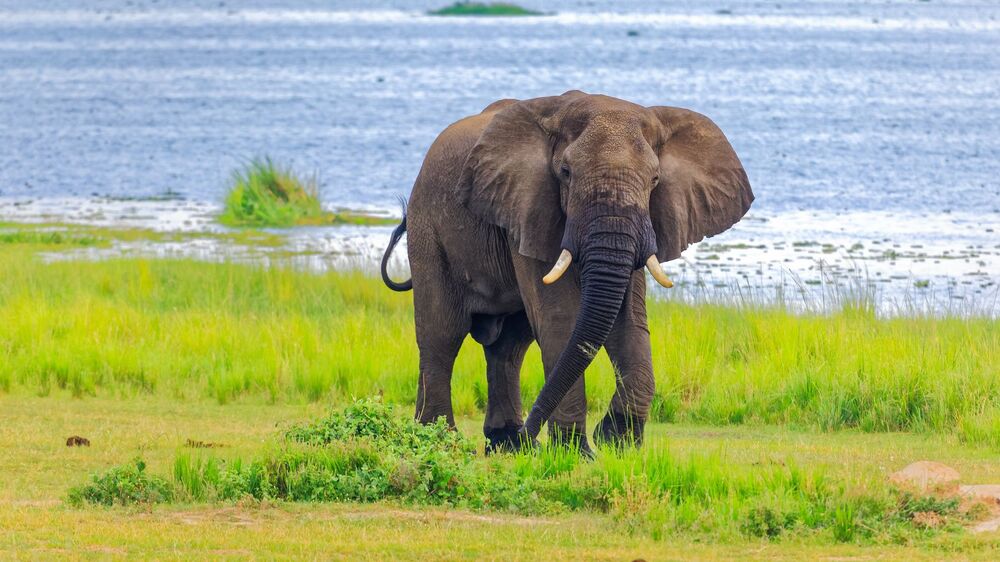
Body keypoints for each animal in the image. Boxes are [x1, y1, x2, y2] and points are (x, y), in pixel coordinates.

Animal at [381, 91, 753, 454]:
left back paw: (505, 443)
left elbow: (628, 318)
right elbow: (561, 317)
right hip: (429, 229)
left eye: (655, 179)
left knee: (510, 345)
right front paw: (576, 452)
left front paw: (618, 444)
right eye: (565, 172)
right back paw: (443, 439)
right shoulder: (529, 206)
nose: (530, 437)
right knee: (443, 334)